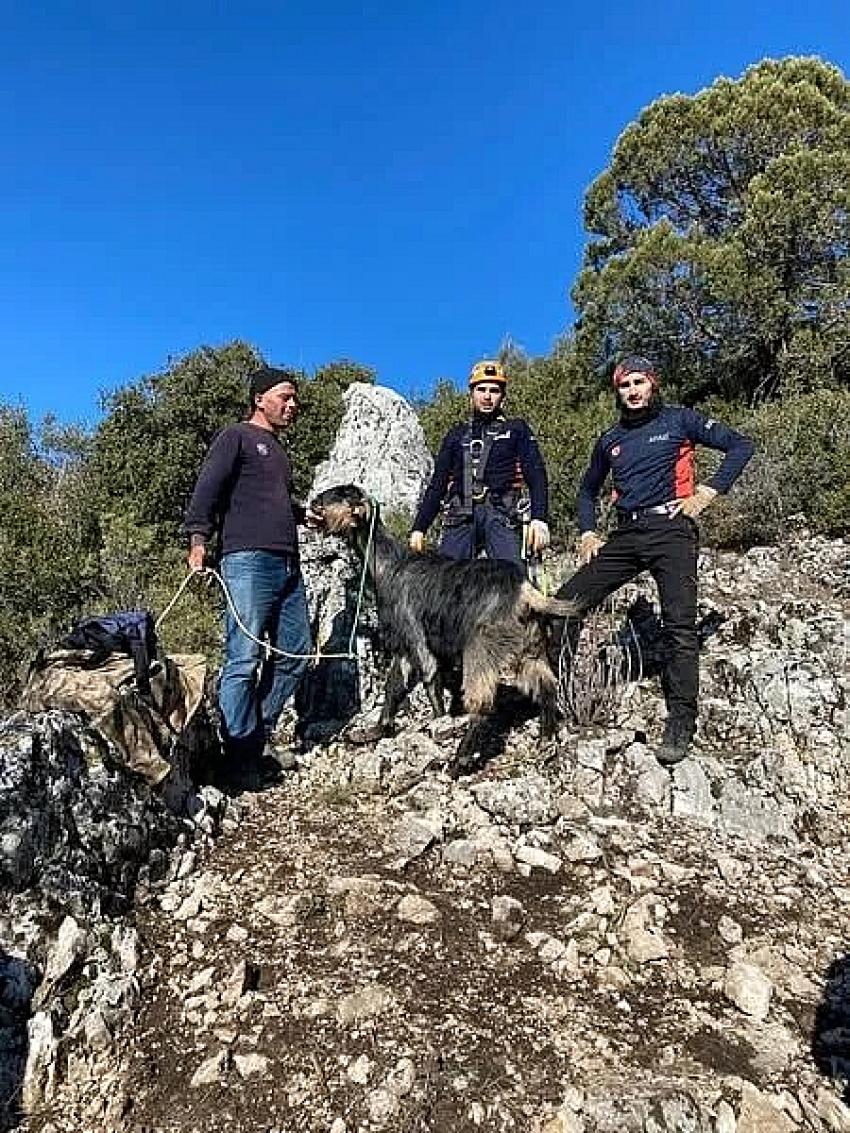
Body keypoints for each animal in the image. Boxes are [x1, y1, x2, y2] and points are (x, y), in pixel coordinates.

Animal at [310, 482, 575, 774]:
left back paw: (460, 759)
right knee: (546, 685)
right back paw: (546, 737)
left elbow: (429, 678)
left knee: (482, 704)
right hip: (531, 647)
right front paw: (376, 730)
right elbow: (395, 685)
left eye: (339, 494)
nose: (313, 503)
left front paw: (439, 724)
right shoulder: (403, 646)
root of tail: (524, 590)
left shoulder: (415, 635)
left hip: (481, 649)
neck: (390, 566)